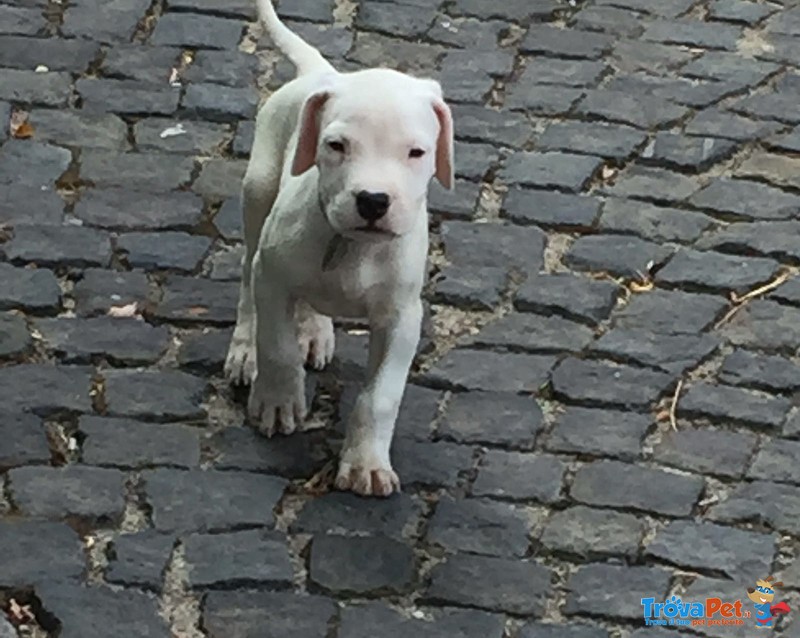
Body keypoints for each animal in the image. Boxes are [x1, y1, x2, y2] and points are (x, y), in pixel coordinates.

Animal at [223, 0, 456, 500]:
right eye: (336, 145)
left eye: (416, 152)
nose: (373, 200)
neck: (351, 247)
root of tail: (320, 73)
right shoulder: (273, 277)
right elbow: (276, 345)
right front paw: (277, 403)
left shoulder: (402, 318)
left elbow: (381, 396)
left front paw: (366, 463)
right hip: (258, 192)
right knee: (247, 283)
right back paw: (245, 350)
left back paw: (315, 331)